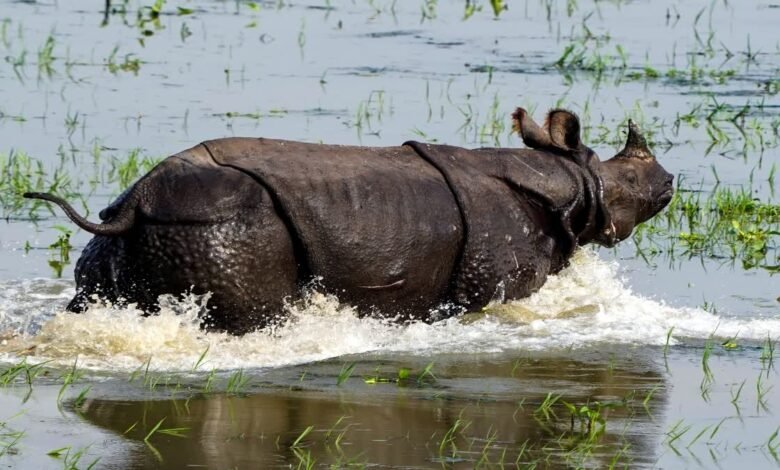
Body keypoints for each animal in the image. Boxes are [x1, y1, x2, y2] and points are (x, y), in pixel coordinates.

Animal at [25, 109, 674, 334]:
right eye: (631, 181)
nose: (670, 183)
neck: (572, 182)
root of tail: (139, 201)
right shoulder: (494, 281)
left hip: (134, 227)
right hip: (223, 227)